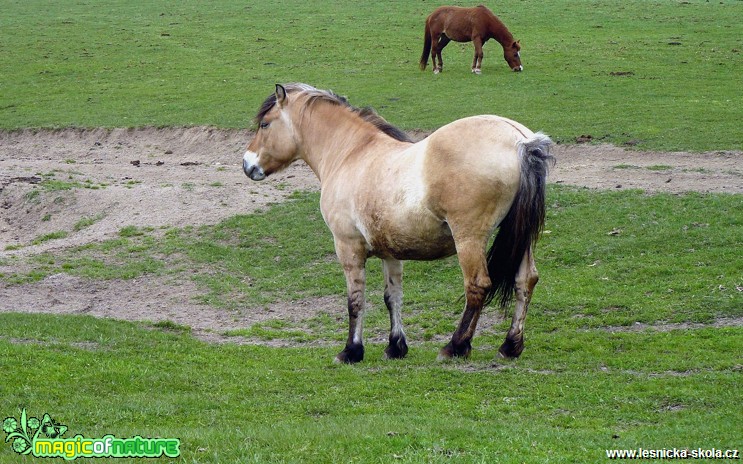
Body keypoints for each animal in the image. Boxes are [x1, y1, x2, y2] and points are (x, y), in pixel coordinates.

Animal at [244, 85, 552, 364]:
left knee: (477, 286)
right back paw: (510, 346)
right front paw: (395, 347)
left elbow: (355, 300)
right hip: (521, 238)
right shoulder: (389, 252)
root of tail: (521, 141)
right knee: (525, 281)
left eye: (265, 123)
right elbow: (393, 296)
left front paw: (351, 351)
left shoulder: (347, 247)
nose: (247, 165)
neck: (351, 153)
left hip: (469, 239)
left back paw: (456, 346)